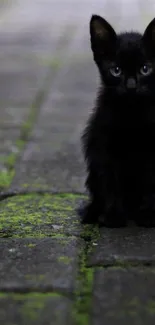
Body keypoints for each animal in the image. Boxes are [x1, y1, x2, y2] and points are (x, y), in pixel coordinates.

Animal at [79, 14, 155, 225]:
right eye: (116, 70)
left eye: (145, 69)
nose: (131, 86)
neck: (132, 113)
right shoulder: (103, 149)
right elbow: (110, 183)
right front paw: (114, 216)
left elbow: (149, 183)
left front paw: (147, 215)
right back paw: (92, 213)